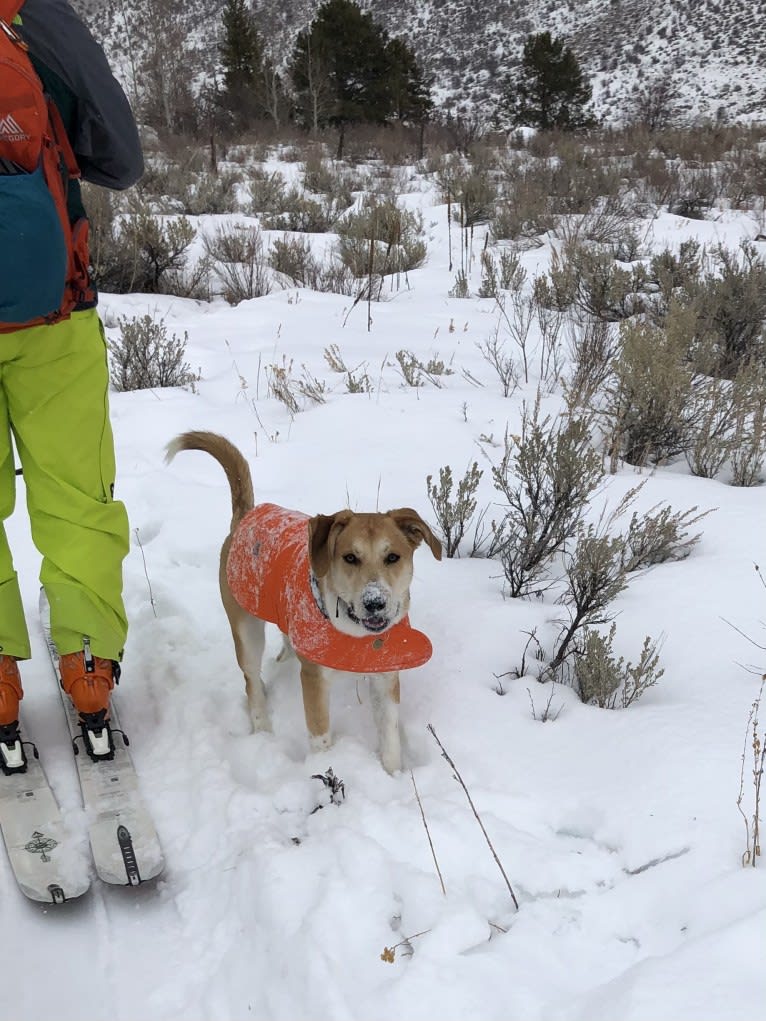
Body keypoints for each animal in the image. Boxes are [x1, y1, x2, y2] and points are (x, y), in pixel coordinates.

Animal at [167, 430, 443, 771]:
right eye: (350, 557)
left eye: (393, 557)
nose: (374, 602)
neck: (356, 633)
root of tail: (246, 515)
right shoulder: (314, 678)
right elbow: (320, 733)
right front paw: (326, 770)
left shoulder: (386, 675)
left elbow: (390, 737)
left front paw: (393, 775)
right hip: (246, 630)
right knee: (251, 679)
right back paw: (262, 725)